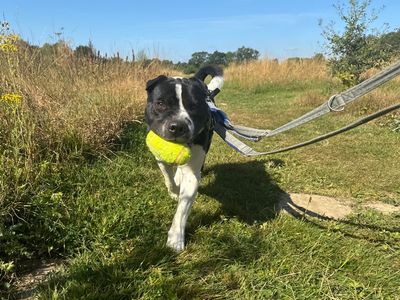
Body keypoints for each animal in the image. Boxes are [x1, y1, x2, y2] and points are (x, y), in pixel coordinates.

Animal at [145, 65, 225, 251]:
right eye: (161, 103)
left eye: (194, 106)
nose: (177, 126)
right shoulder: (160, 159)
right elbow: (168, 178)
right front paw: (174, 190)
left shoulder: (193, 175)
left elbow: (182, 208)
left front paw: (175, 239)